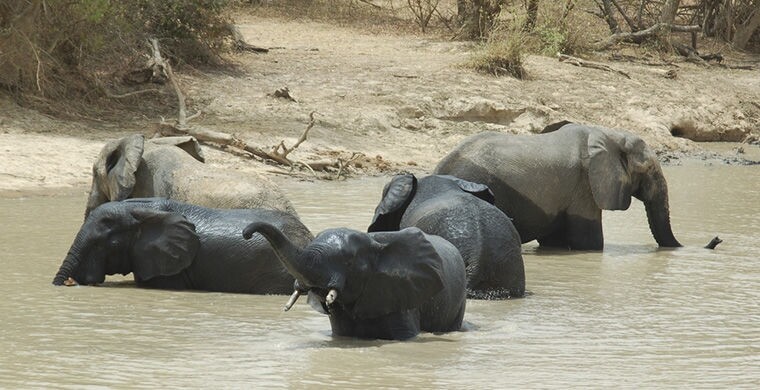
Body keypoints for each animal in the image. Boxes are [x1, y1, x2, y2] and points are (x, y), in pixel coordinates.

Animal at [434, 122, 684, 250]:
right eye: (648, 170)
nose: (681, 247)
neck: (608, 134)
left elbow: (554, 241)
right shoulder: (585, 185)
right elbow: (589, 242)